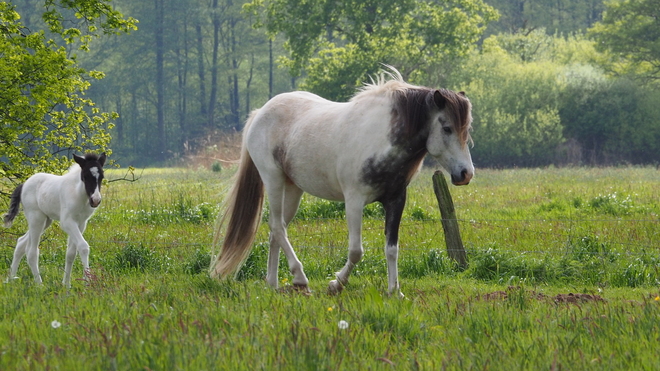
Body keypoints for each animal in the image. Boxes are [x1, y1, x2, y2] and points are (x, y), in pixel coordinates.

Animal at [3, 154, 107, 288]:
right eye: (85, 176)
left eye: (102, 176)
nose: (95, 200)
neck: (78, 193)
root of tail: (24, 184)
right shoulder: (67, 222)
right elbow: (83, 246)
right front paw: (87, 282)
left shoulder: (81, 223)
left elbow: (71, 253)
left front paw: (66, 284)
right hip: (36, 218)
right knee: (31, 252)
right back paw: (39, 284)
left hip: (45, 221)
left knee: (21, 243)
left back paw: (11, 279)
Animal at [209, 68, 472, 298]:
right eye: (446, 128)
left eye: (466, 129)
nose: (466, 174)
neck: (383, 139)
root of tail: (260, 113)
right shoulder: (354, 201)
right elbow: (356, 251)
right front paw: (336, 284)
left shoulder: (396, 200)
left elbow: (392, 249)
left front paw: (395, 292)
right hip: (273, 180)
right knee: (277, 226)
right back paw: (300, 278)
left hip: (292, 189)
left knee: (276, 230)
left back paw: (273, 284)